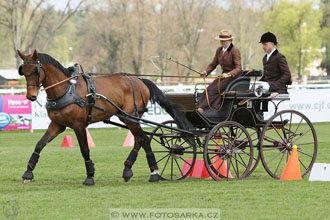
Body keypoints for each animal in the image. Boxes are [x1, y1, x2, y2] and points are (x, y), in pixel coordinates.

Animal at [18, 49, 192, 185]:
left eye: (35, 71)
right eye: (23, 72)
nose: (31, 96)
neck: (66, 89)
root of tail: (139, 80)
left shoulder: (79, 125)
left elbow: (84, 149)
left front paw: (90, 176)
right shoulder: (57, 125)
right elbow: (39, 144)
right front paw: (28, 173)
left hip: (130, 117)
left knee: (142, 139)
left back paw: (154, 172)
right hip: (128, 118)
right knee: (140, 139)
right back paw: (129, 169)